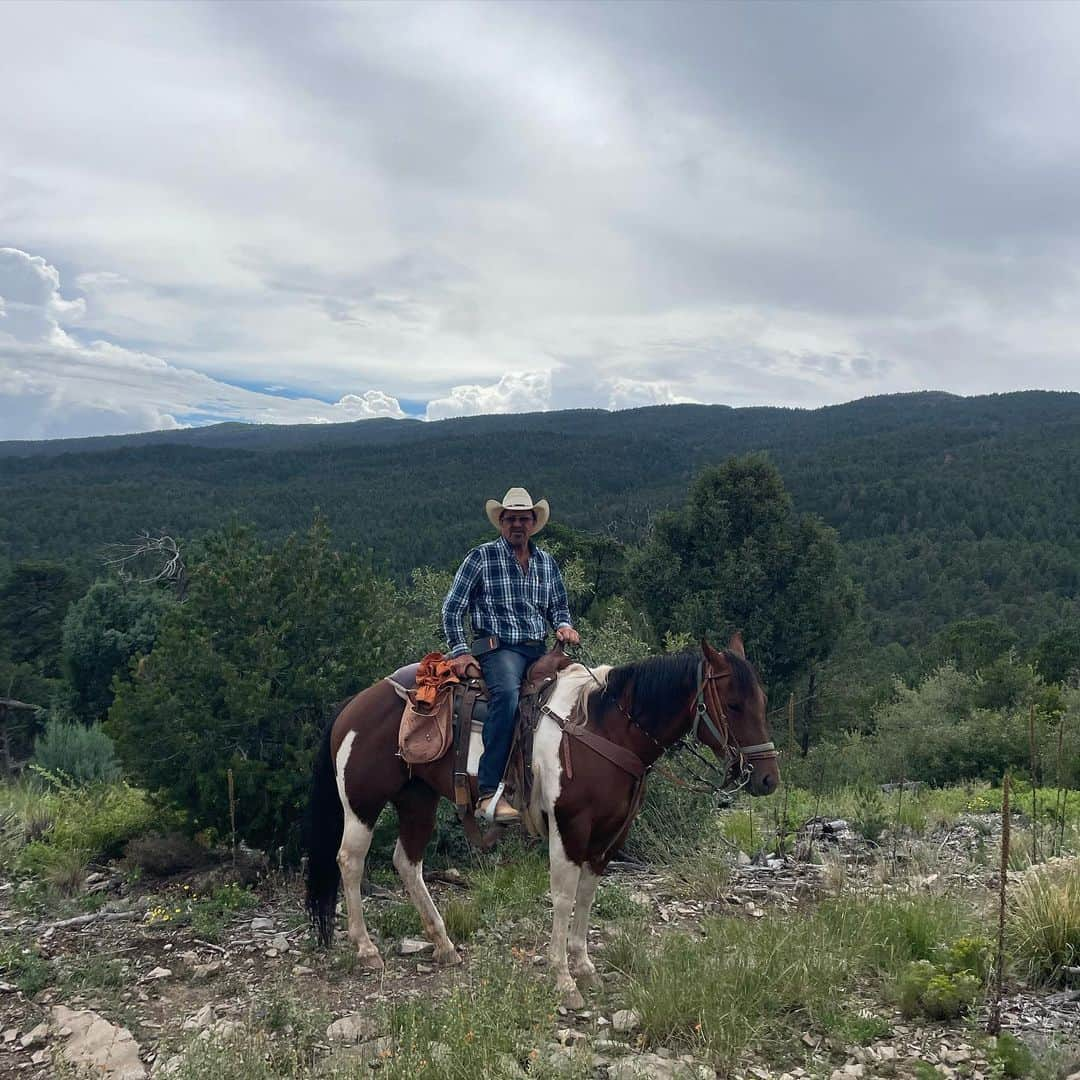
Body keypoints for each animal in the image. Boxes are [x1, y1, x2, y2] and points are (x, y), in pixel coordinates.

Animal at [304, 630, 777, 1002]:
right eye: (734, 705)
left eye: (762, 700)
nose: (767, 778)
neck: (602, 729)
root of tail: (355, 703)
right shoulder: (570, 827)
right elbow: (564, 897)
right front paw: (564, 979)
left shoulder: (609, 835)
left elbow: (587, 895)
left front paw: (585, 968)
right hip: (362, 804)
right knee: (350, 861)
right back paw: (367, 949)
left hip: (417, 800)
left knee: (407, 862)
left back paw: (444, 944)